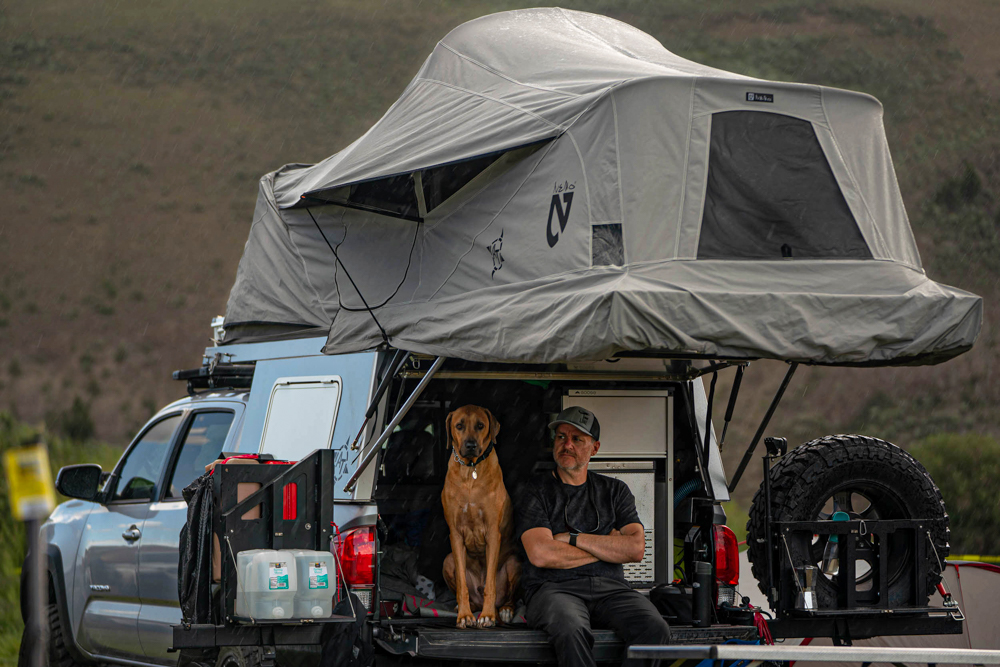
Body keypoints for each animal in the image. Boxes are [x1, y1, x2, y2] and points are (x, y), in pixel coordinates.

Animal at [444, 404, 524, 628]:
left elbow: (490, 582)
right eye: (459, 426)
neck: (471, 470)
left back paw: (503, 610)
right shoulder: (455, 534)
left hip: (514, 563)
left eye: (480, 426)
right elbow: (462, 585)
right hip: (448, 560)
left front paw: (488, 616)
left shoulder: (492, 534)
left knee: (507, 597)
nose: (470, 445)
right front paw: (464, 615)